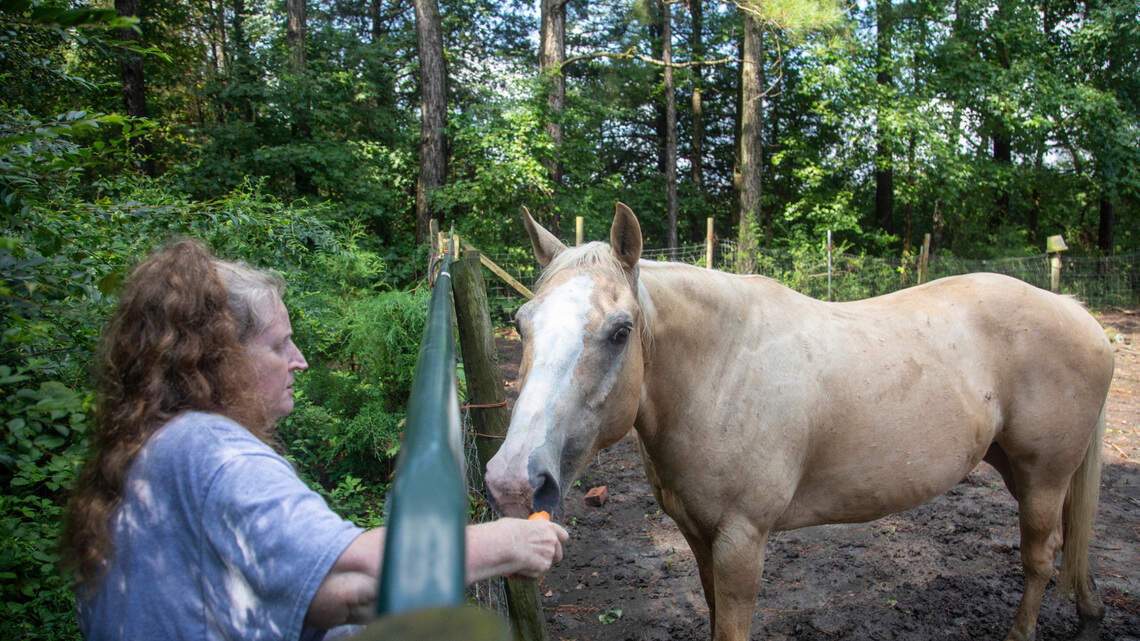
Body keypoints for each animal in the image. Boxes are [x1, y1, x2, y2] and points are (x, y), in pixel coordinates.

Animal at [484, 203, 1113, 641]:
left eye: (620, 331)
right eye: (521, 322)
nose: (514, 481)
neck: (722, 371)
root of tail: (1077, 313)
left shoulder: (742, 542)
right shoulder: (698, 537)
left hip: (1043, 475)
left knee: (1040, 558)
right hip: (1015, 467)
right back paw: (1090, 613)